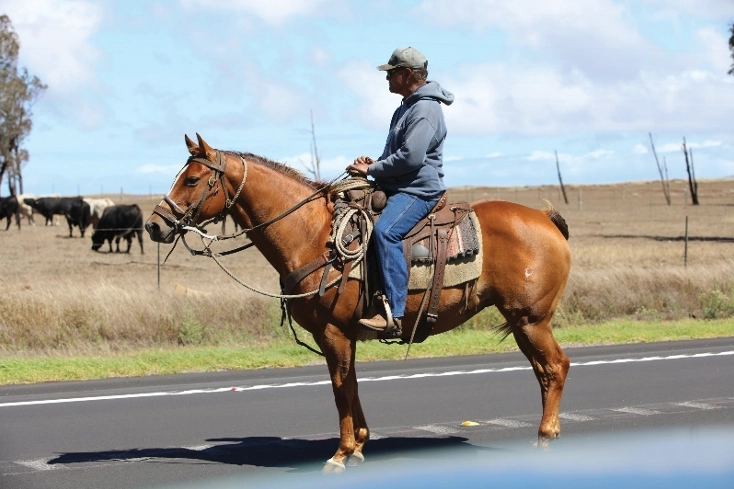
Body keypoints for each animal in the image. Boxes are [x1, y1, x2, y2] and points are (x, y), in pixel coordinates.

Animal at [145, 134, 572, 473]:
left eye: (192, 179)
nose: (154, 224)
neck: (312, 234)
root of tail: (546, 219)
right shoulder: (343, 335)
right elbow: (350, 384)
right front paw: (361, 445)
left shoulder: (332, 332)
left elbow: (339, 389)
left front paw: (341, 454)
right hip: (521, 322)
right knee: (543, 372)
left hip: (531, 320)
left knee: (556, 367)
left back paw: (547, 435)